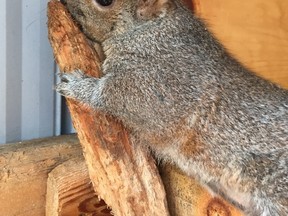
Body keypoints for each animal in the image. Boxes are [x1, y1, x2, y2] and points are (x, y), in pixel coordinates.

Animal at [56, 0, 288, 215]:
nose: (64, 2)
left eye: (105, 2)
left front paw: (79, 87)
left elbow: (113, 95)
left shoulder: (165, 84)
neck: (153, 30)